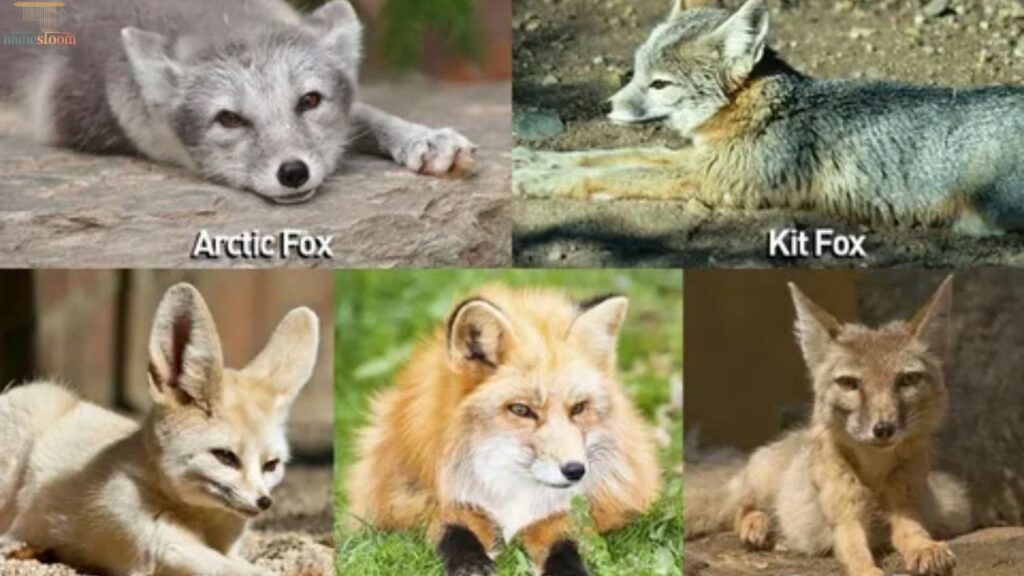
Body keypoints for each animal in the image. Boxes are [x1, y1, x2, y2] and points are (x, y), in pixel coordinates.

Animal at [0, 283, 320, 576]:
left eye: (271, 465)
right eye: (226, 457)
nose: (264, 502)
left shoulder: (219, 549)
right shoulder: (159, 546)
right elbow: (242, 571)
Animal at [346, 286, 662, 576]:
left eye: (578, 408)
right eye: (521, 410)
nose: (575, 470)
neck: (512, 490)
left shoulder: (562, 515)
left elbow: (565, 547)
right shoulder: (441, 501)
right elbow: (454, 533)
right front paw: (471, 565)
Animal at [513, 0, 1024, 235]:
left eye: (659, 84)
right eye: (636, 72)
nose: (607, 107)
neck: (761, 109)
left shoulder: (709, 179)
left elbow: (616, 173)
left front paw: (539, 181)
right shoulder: (698, 158)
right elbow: (604, 157)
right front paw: (535, 162)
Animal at [684, 276, 973, 576]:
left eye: (907, 380)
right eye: (849, 383)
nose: (883, 428)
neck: (875, 475)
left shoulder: (909, 508)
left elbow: (913, 532)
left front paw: (925, 548)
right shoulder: (845, 521)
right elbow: (857, 554)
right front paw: (870, 570)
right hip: (762, 484)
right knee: (740, 507)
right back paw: (757, 524)